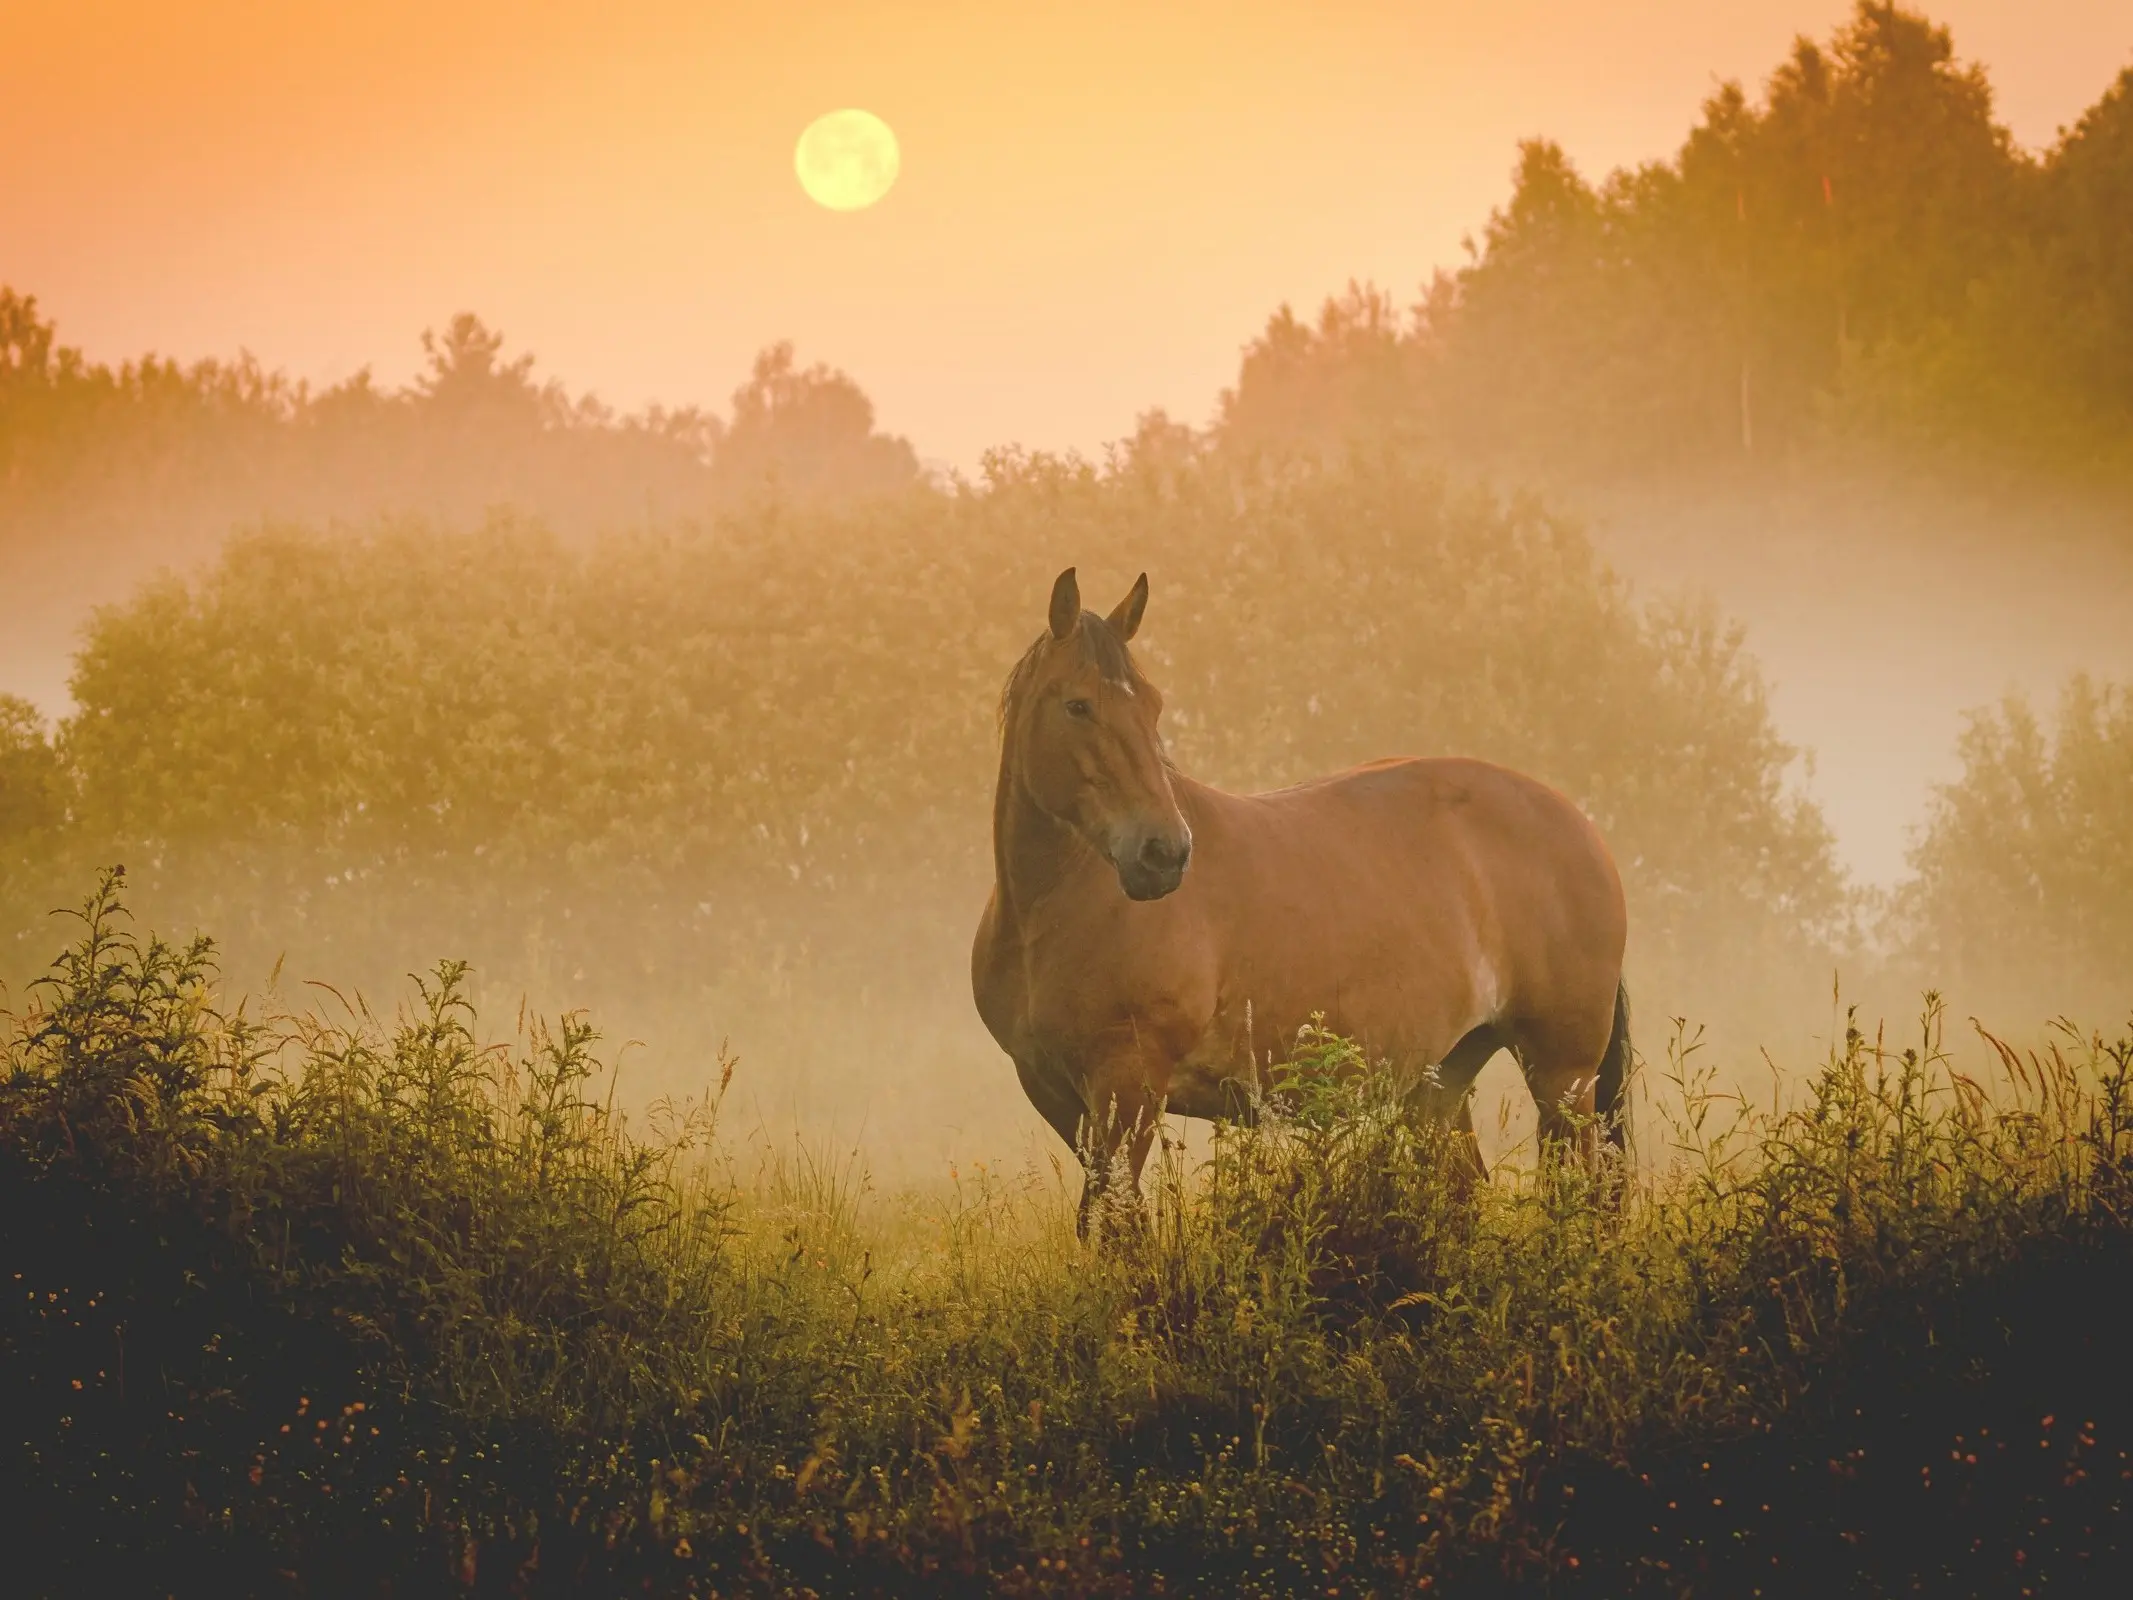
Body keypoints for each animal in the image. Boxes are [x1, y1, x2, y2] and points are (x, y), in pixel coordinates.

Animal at [971, 567, 1631, 1233]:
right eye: (1077, 705)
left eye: (1152, 705)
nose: (1165, 853)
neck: (1050, 915)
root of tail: (1581, 826)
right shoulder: (1057, 1096)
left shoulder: (1127, 1088)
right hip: (1442, 1080)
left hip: (1562, 1077)